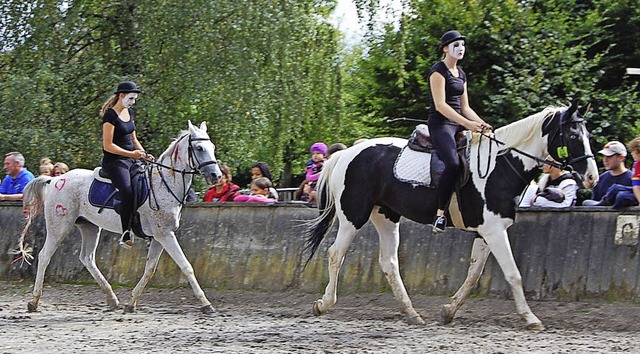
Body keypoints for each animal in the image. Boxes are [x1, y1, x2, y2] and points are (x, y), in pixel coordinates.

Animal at [20, 121, 222, 312]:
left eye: (212, 147)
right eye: (199, 148)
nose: (216, 176)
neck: (164, 184)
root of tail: (55, 179)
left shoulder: (160, 236)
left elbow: (150, 269)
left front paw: (131, 303)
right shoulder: (165, 235)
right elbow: (186, 266)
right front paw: (206, 304)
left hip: (89, 226)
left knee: (87, 258)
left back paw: (112, 298)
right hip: (60, 226)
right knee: (44, 256)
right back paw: (34, 301)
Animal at [304, 101, 600, 330]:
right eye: (574, 136)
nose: (592, 177)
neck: (500, 166)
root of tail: (347, 153)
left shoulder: (487, 231)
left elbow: (474, 274)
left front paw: (449, 310)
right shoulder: (494, 231)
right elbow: (513, 274)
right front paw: (530, 318)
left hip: (386, 216)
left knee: (389, 263)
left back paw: (412, 313)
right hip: (353, 215)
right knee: (336, 254)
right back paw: (324, 304)